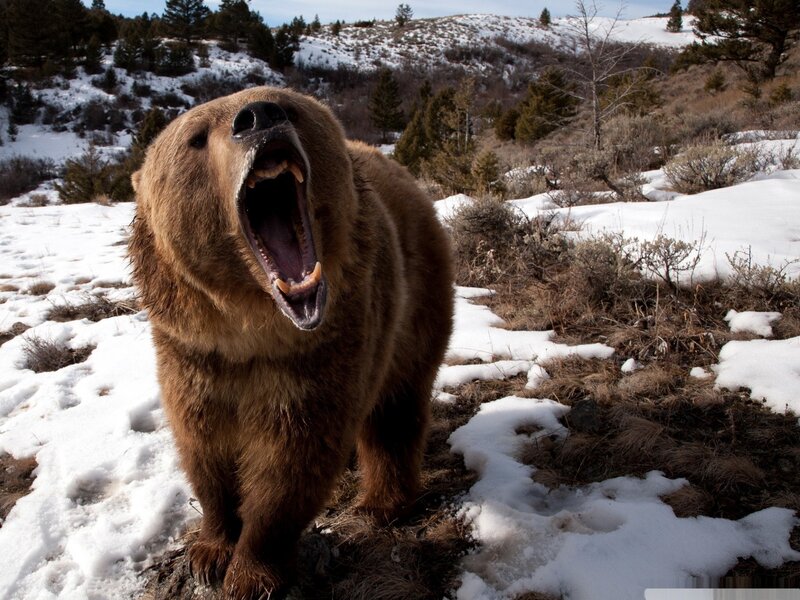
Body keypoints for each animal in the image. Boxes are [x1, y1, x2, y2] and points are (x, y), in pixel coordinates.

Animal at [128, 87, 454, 599]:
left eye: (288, 105)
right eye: (195, 137)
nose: (259, 117)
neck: (251, 329)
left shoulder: (318, 353)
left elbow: (291, 461)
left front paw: (251, 573)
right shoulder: (193, 353)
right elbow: (204, 447)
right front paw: (209, 551)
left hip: (415, 298)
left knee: (395, 407)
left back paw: (382, 503)